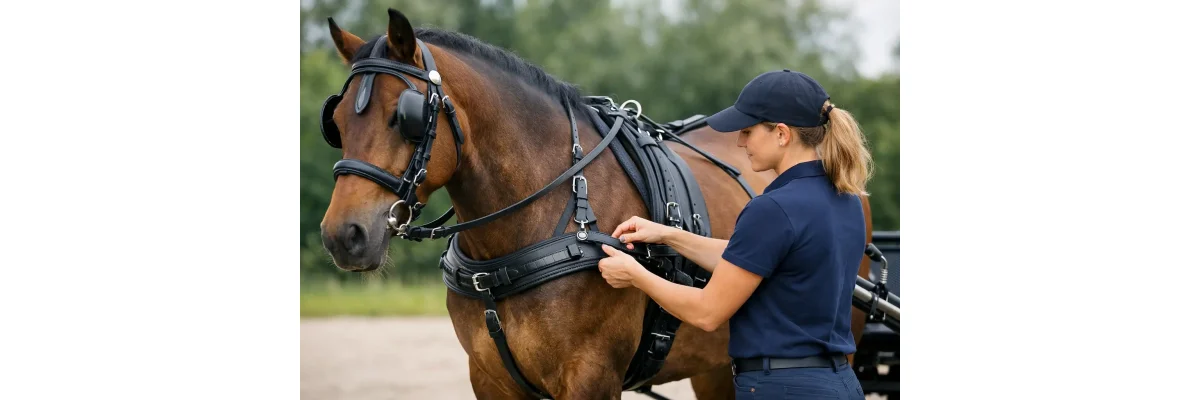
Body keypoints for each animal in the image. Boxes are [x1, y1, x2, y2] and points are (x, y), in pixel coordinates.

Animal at [317, 9, 874, 399]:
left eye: (403, 116)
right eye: (337, 121)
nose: (344, 235)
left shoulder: (590, 378)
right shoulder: (489, 379)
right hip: (717, 366)